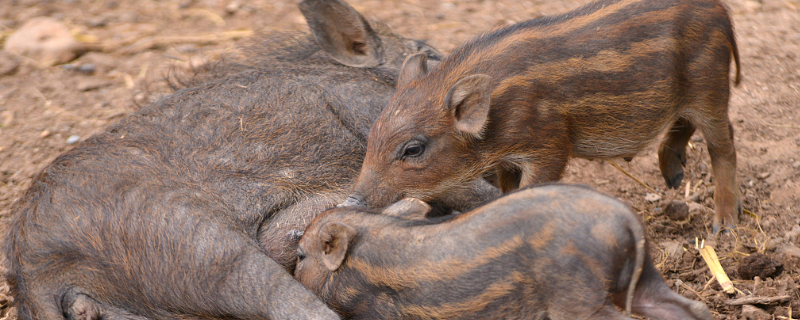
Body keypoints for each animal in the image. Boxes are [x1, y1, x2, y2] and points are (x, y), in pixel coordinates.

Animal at [296, 184, 708, 318]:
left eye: (300, 256)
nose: (294, 259)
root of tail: (627, 218)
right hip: (645, 276)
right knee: (689, 308)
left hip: (577, 297)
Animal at [348, 0, 744, 231]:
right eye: (373, 135)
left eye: (413, 149)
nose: (350, 201)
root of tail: (721, 10)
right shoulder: (507, 159)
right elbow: (508, 192)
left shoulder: (549, 145)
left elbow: (533, 186)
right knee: (683, 123)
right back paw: (673, 179)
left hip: (710, 87)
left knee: (724, 144)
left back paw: (724, 227)